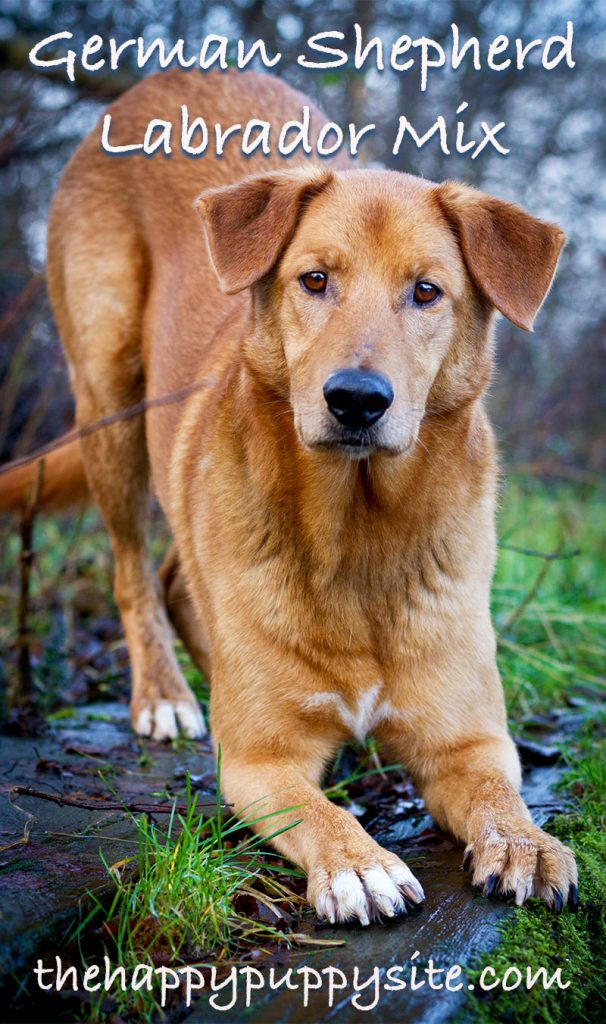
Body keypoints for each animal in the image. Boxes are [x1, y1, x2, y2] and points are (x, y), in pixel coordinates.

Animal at [0, 68, 577, 925]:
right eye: (315, 279)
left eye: (427, 292)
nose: (356, 398)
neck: (359, 530)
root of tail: (164, 77)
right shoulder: (260, 762)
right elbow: (316, 807)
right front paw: (358, 863)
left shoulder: (469, 742)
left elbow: (498, 797)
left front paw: (529, 842)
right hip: (108, 397)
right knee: (134, 570)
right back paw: (165, 695)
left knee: (178, 578)